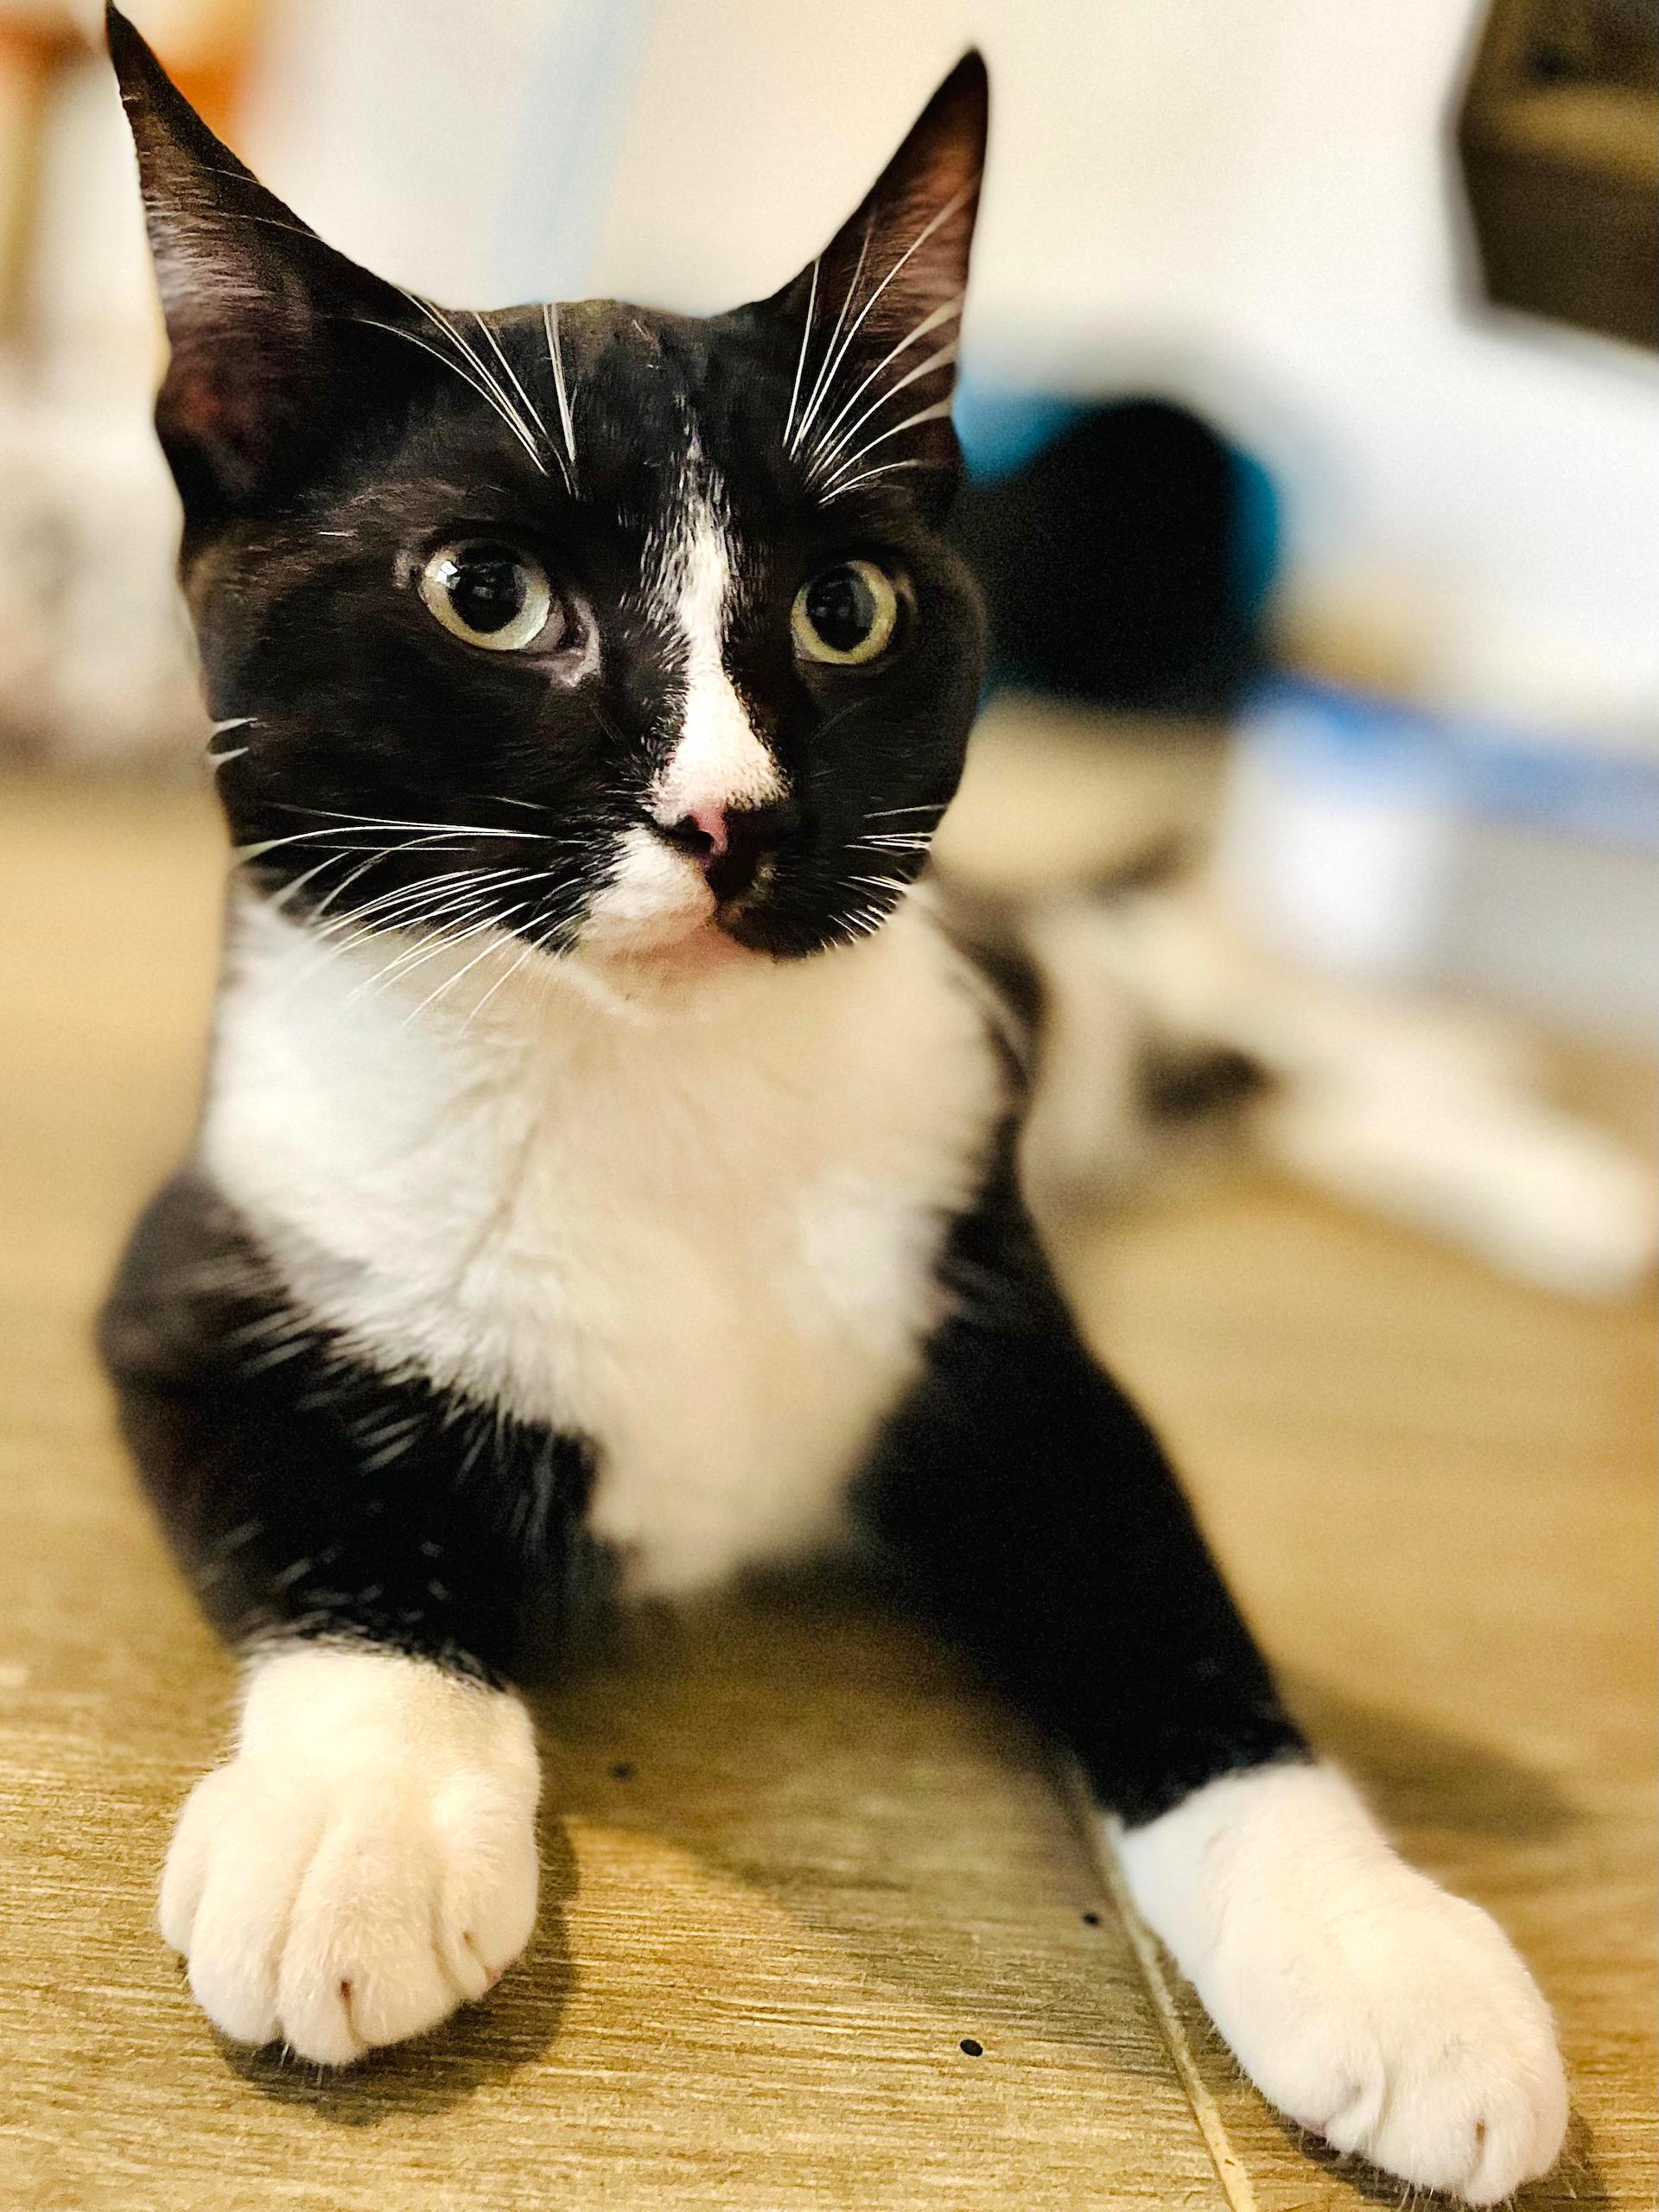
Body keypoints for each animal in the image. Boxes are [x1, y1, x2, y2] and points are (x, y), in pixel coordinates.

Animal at [100, 13, 1574, 2194]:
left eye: (846, 608)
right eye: (484, 591)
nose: (734, 817)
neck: (655, 1081)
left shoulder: (1007, 1332)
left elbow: (1175, 1615)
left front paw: (1383, 1955)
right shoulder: (200, 1281)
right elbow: (342, 1520)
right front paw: (362, 1823)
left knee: (1245, 1011)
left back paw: (1534, 1143)